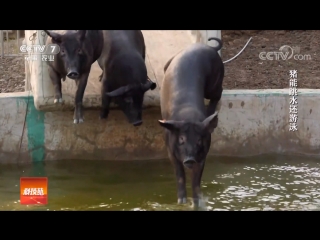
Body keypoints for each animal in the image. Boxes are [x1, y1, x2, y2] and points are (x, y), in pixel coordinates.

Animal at [159, 38, 224, 208]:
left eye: (200, 140)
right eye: (181, 138)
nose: (189, 159)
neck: (188, 116)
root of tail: (209, 47)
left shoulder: (203, 155)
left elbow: (196, 180)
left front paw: (197, 203)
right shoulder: (170, 150)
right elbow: (180, 174)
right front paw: (181, 202)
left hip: (215, 79)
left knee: (218, 93)